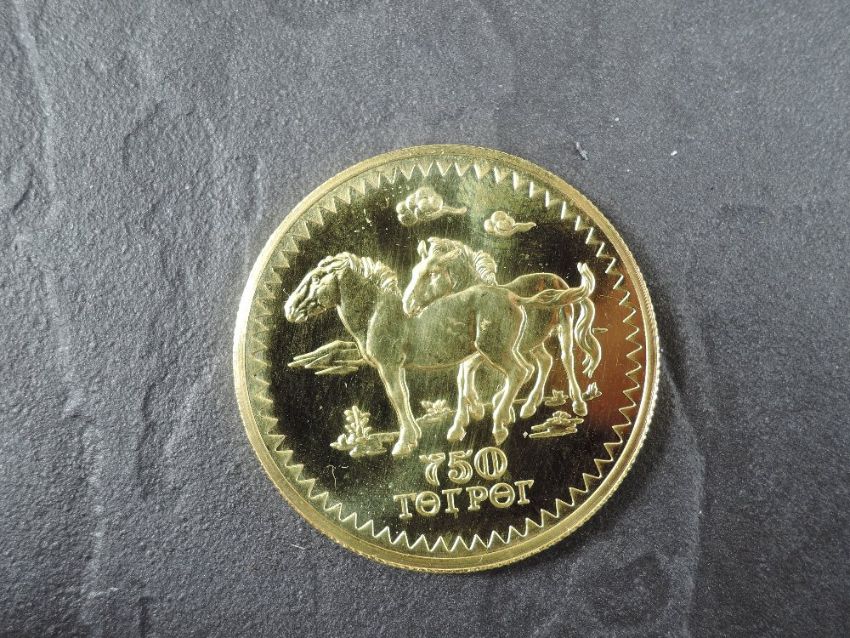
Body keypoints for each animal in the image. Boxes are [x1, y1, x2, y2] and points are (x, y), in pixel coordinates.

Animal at [283, 252, 592, 456]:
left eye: (317, 278)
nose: (290, 309)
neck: (377, 313)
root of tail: (514, 297)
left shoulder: (389, 366)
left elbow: (398, 397)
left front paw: (404, 443)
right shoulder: (409, 366)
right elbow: (415, 393)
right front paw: (430, 432)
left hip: (500, 349)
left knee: (527, 370)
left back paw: (503, 423)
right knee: (541, 364)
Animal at [402, 238, 601, 440]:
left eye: (432, 273)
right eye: (414, 271)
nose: (407, 305)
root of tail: (560, 282)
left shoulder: (481, 352)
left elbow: (469, 379)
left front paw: (483, 411)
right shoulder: (474, 353)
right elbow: (463, 380)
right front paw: (463, 422)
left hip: (563, 328)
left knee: (566, 359)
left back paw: (578, 404)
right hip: (534, 342)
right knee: (545, 362)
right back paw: (528, 406)